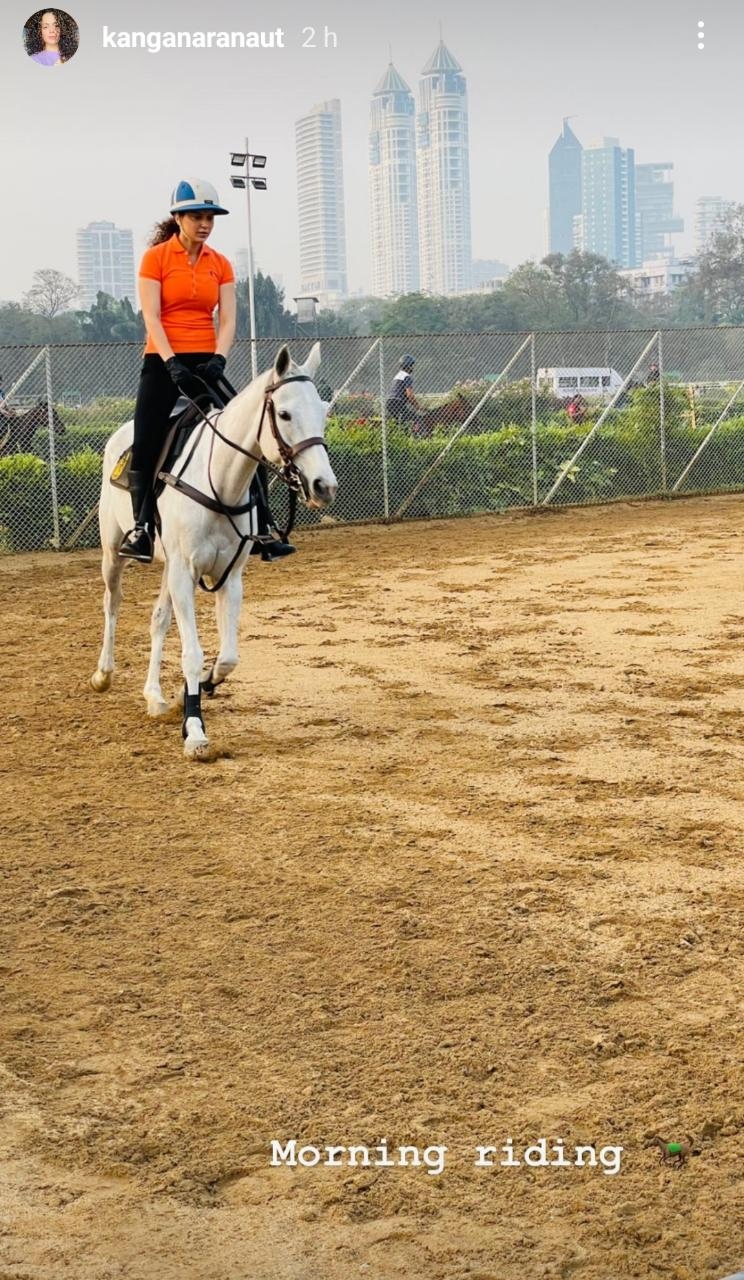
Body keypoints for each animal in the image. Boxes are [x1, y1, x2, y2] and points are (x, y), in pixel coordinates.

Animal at [91, 343, 338, 757]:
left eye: (323, 412)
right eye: (284, 414)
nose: (324, 486)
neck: (220, 481)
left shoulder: (229, 578)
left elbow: (228, 658)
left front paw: (191, 692)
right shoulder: (184, 575)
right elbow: (192, 654)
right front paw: (195, 730)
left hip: (168, 568)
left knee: (158, 619)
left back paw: (154, 696)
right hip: (114, 552)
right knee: (112, 603)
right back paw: (103, 674)